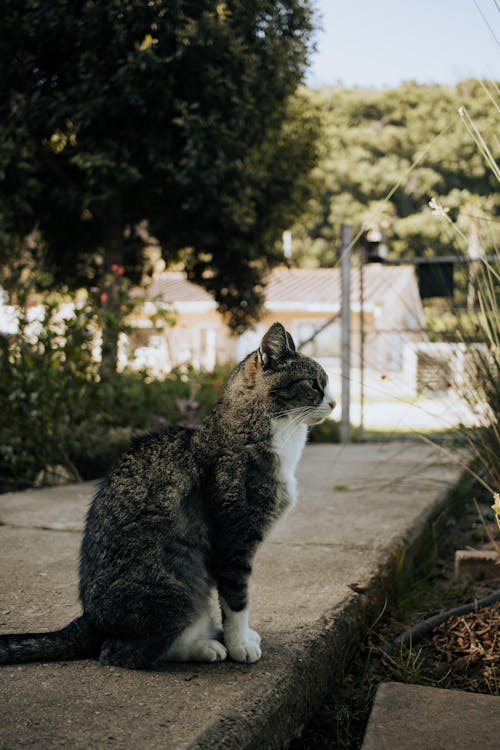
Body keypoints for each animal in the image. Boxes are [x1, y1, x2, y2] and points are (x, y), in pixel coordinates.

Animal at [1, 322, 336, 668]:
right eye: (314, 383)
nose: (334, 403)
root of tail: (89, 620)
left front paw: (242, 639)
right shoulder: (233, 542)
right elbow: (236, 599)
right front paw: (240, 644)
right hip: (176, 586)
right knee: (120, 652)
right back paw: (204, 647)